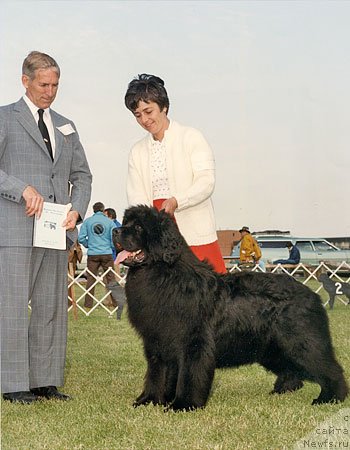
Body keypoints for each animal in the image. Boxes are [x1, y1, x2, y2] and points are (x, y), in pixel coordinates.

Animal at [113, 206, 348, 410]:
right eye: (126, 223)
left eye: (139, 227)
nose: (115, 231)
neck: (163, 273)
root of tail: (311, 293)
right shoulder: (156, 342)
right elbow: (157, 374)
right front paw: (148, 400)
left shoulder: (193, 342)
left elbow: (189, 375)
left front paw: (183, 404)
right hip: (272, 347)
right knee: (290, 369)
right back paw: (282, 390)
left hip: (302, 342)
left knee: (330, 368)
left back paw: (330, 397)